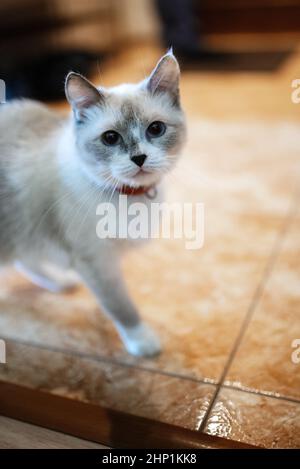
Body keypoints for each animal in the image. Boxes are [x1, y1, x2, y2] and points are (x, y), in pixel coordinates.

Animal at [0, 51, 186, 356]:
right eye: (110, 138)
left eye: (156, 129)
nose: (139, 158)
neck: (129, 197)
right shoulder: (96, 262)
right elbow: (120, 306)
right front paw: (142, 343)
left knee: (24, 259)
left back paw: (61, 282)